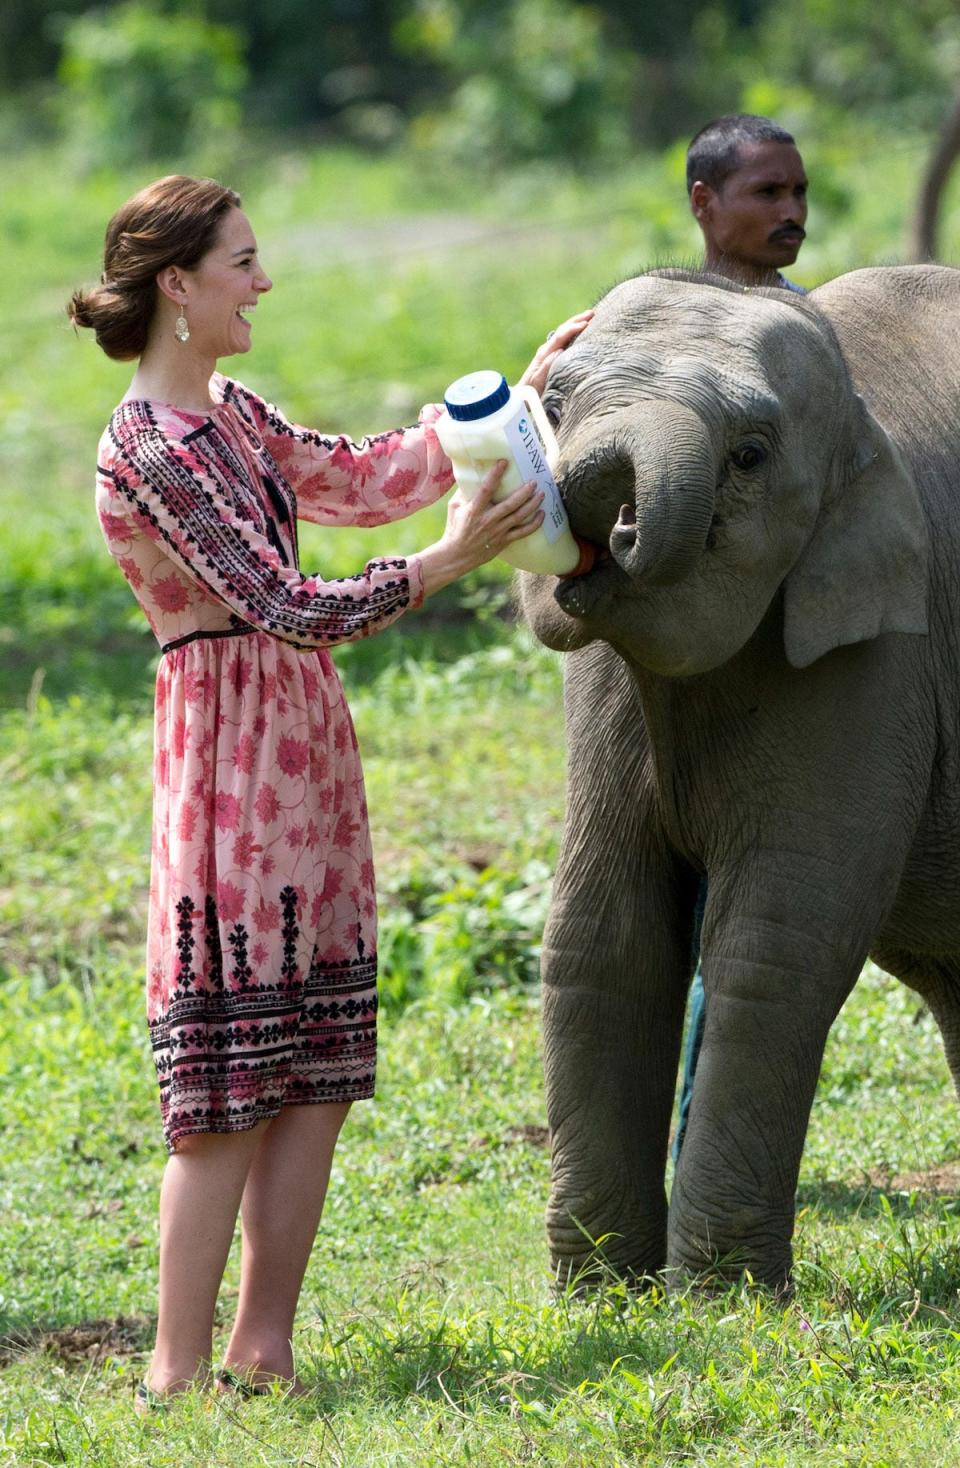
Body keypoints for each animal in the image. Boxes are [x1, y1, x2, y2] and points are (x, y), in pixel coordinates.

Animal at [522, 267, 960, 1297]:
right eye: (553, 407)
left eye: (750, 456)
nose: (613, 522)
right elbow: (602, 934)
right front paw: (599, 1294)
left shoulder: (879, 650)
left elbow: (775, 944)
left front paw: (719, 1299)